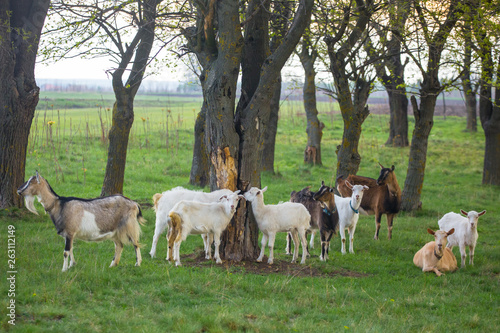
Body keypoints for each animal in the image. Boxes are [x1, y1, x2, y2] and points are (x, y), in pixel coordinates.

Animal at [17, 172, 145, 272]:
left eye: (31, 182)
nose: (18, 191)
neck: (59, 205)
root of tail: (134, 204)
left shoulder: (69, 232)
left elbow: (66, 252)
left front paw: (63, 269)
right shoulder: (68, 234)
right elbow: (71, 249)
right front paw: (72, 265)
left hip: (129, 225)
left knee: (135, 243)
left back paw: (137, 264)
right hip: (115, 231)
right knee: (119, 245)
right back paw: (112, 265)